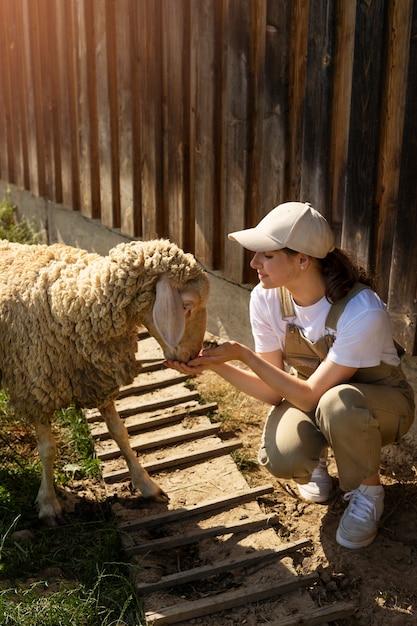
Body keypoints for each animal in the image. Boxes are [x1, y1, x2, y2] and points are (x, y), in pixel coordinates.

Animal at [0, 236, 210, 524]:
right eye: (187, 307)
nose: (191, 357)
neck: (79, 299)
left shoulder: (99, 380)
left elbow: (120, 433)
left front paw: (147, 485)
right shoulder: (37, 389)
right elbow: (47, 449)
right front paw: (49, 503)